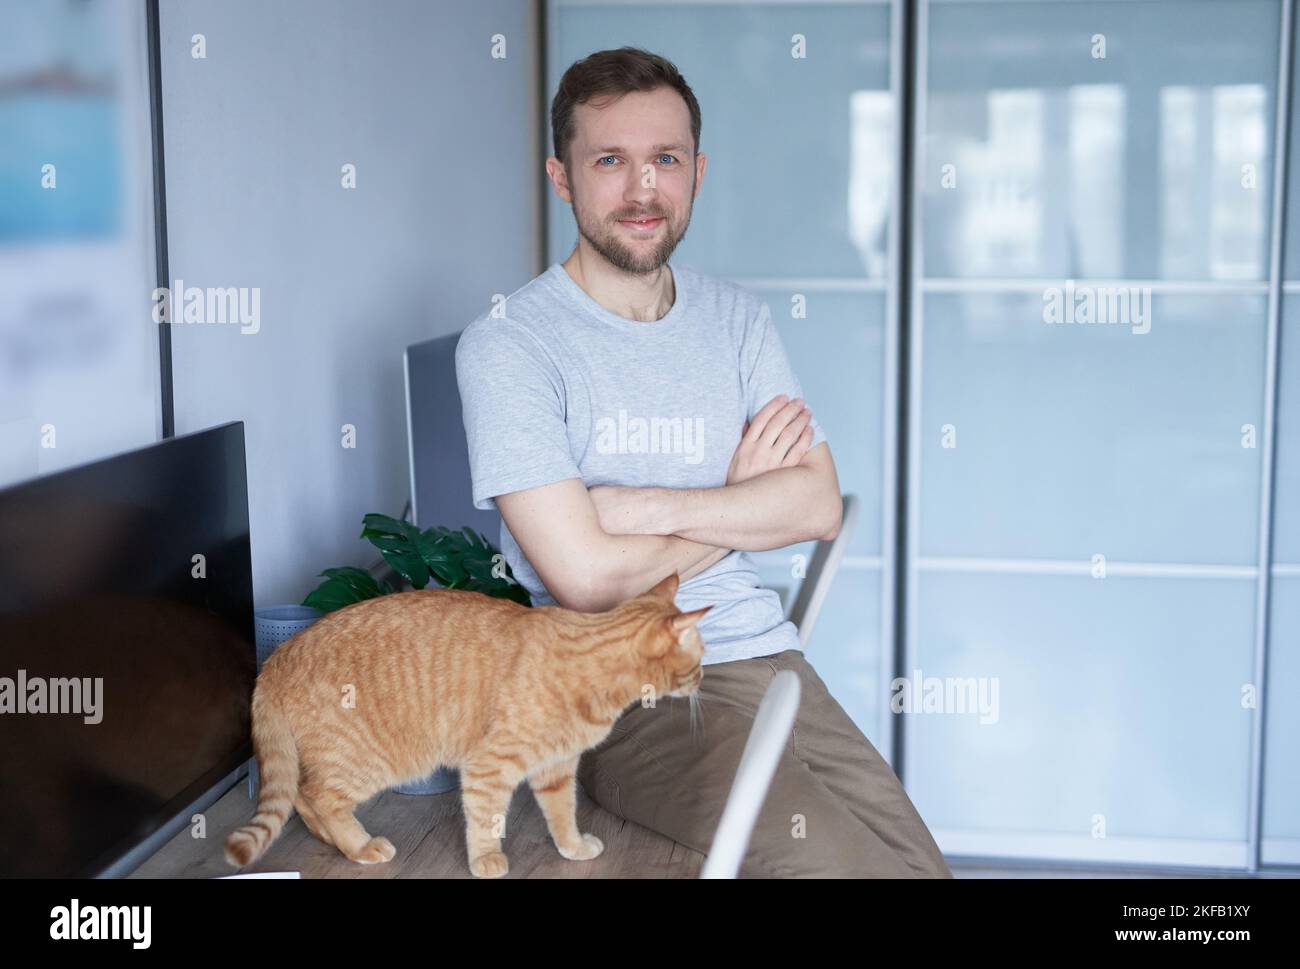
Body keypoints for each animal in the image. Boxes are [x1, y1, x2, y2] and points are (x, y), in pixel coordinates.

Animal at [224, 567, 712, 879]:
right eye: (700, 657)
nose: (704, 678)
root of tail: (277, 657)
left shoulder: (555, 769)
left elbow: (562, 814)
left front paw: (572, 848)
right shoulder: (488, 766)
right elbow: (485, 819)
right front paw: (486, 861)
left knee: (301, 798)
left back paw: (334, 841)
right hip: (369, 763)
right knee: (315, 796)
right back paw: (359, 846)